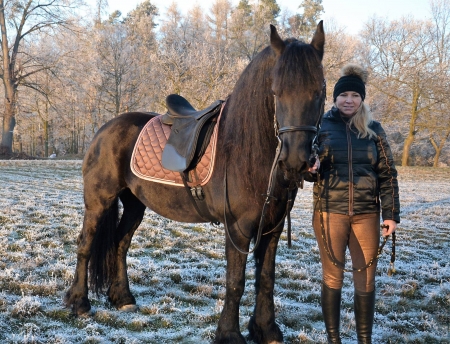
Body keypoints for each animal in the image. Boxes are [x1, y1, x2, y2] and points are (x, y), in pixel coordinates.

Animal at [65, 22, 326, 342]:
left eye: (321, 90)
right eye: (276, 92)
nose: (296, 161)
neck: (245, 151)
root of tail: (105, 128)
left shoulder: (271, 229)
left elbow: (266, 278)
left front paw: (266, 329)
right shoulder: (238, 229)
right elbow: (236, 281)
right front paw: (229, 333)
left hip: (135, 204)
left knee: (119, 243)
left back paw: (123, 298)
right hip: (99, 200)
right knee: (85, 244)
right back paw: (79, 303)